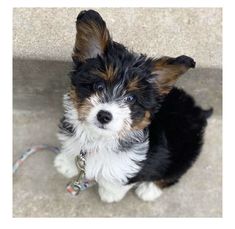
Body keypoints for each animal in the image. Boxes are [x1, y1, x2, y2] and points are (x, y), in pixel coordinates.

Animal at [54, 9, 212, 202]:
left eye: (130, 98)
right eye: (99, 86)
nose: (104, 115)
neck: (99, 139)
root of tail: (197, 110)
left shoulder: (133, 163)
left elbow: (118, 178)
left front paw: (109, 193)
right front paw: (66, 162)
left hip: (185, 150)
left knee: (174, 173)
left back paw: (149, 190)